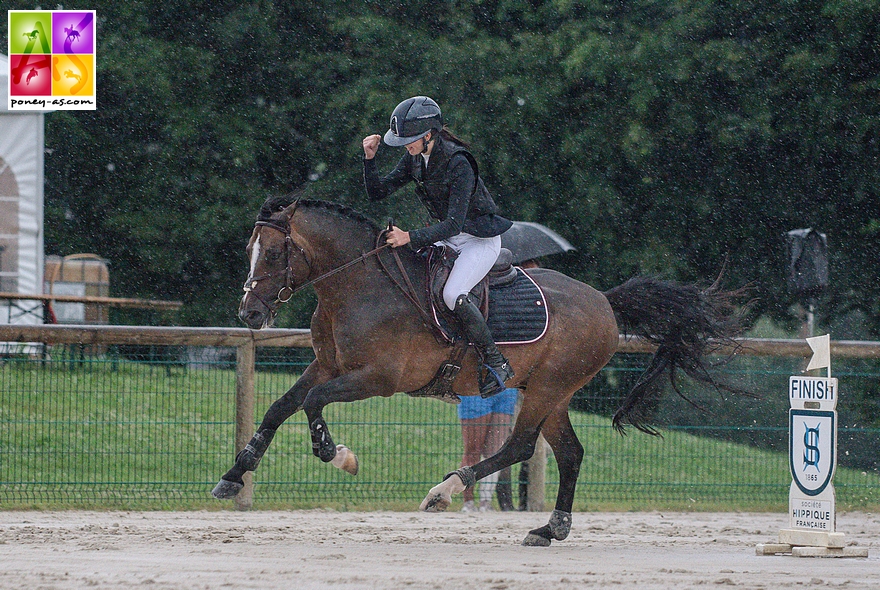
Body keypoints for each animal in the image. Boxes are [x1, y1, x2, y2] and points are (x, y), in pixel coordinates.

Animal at [215, 193, 744, 544]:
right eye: (249, 251)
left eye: (275, 252)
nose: (250, 313)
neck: (356, 285)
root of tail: (605, 302)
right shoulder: (327, 365)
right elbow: (281, 406)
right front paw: (236, 473)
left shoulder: (378, 379)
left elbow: (311, 403)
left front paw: (336, 453)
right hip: (553, 392)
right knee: (570, 453)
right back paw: (550, 528)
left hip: (547, 387)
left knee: (520, 445)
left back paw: (446, 489)